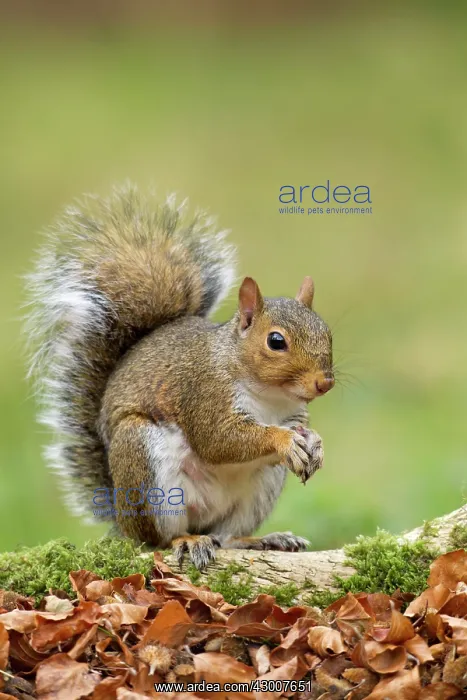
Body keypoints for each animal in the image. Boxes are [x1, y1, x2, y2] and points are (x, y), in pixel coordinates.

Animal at [26, 184, 335, 569]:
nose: (325, 382)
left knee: (227, 536)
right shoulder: (203, 393)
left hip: (259, 490)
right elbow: (219, 440)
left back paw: (265, 539)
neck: (268, 396)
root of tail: (123, 520)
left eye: (328, 333)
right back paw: (188, 540)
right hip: (147, 468)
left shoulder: (293, 414)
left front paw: (316, 444)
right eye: (276, 341)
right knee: (161, 538)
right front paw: (283, 440)